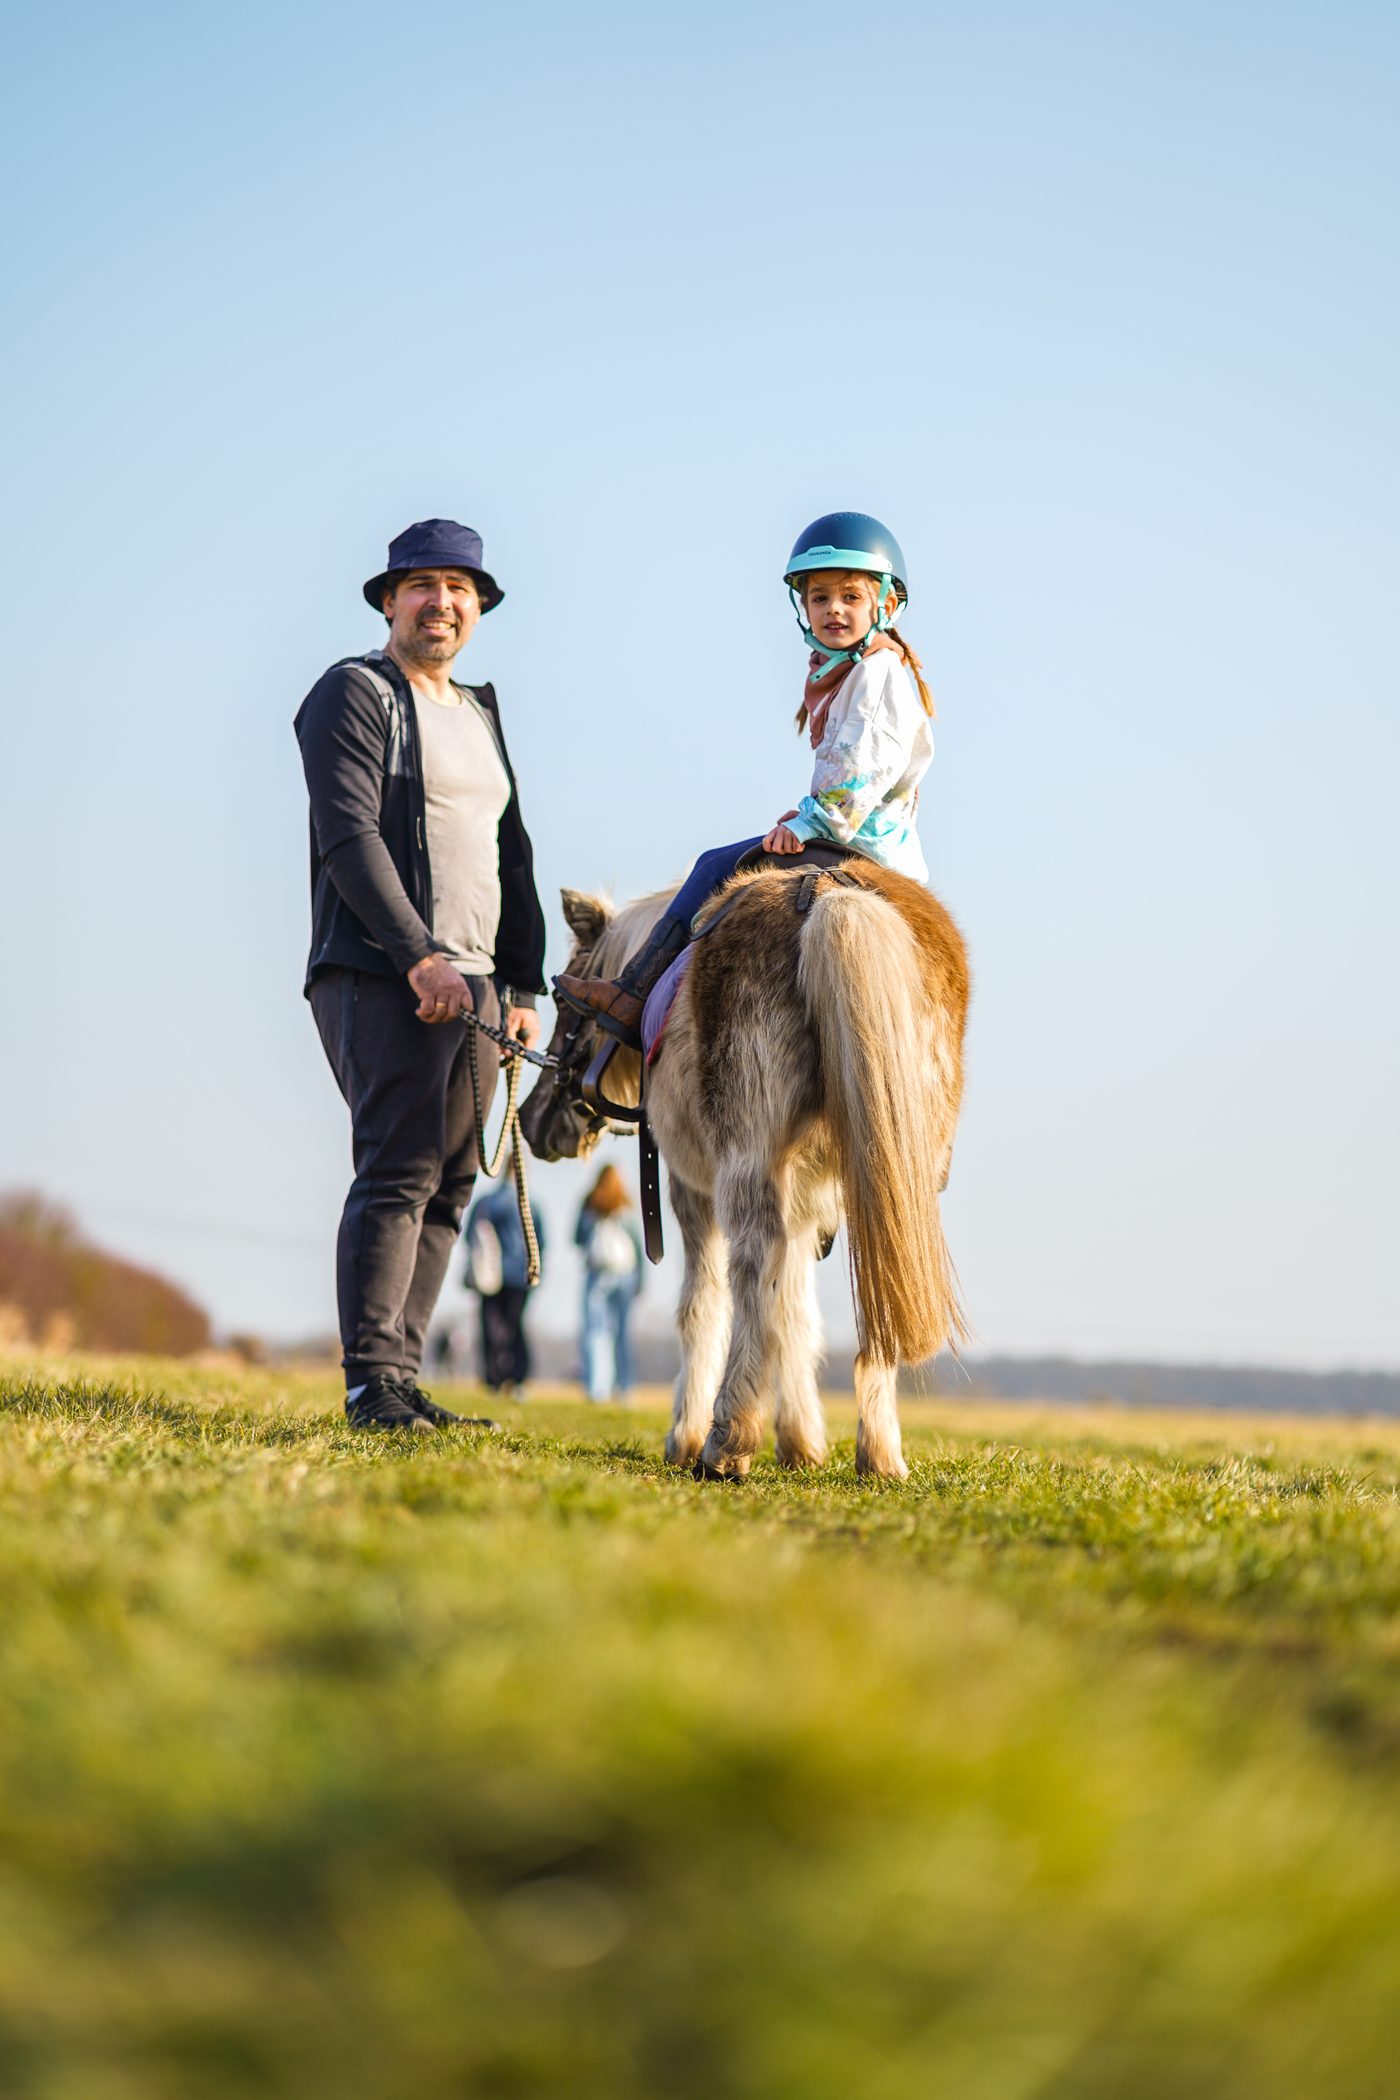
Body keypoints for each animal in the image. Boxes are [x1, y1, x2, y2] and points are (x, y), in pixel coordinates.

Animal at [518, 858, 970, 1481]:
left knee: (751, 1267)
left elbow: (704, 1303)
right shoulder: (808, 1198)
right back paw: (879, 1453)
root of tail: (832, 898)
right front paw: (800, 1440)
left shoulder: (689, 1188)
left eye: (565, 1010)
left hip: (745, 1162)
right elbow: (795, 1311)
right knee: (882, 1274)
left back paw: (725, 1440)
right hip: (884, 1161)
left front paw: (686, 1435)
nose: (530, 1120)